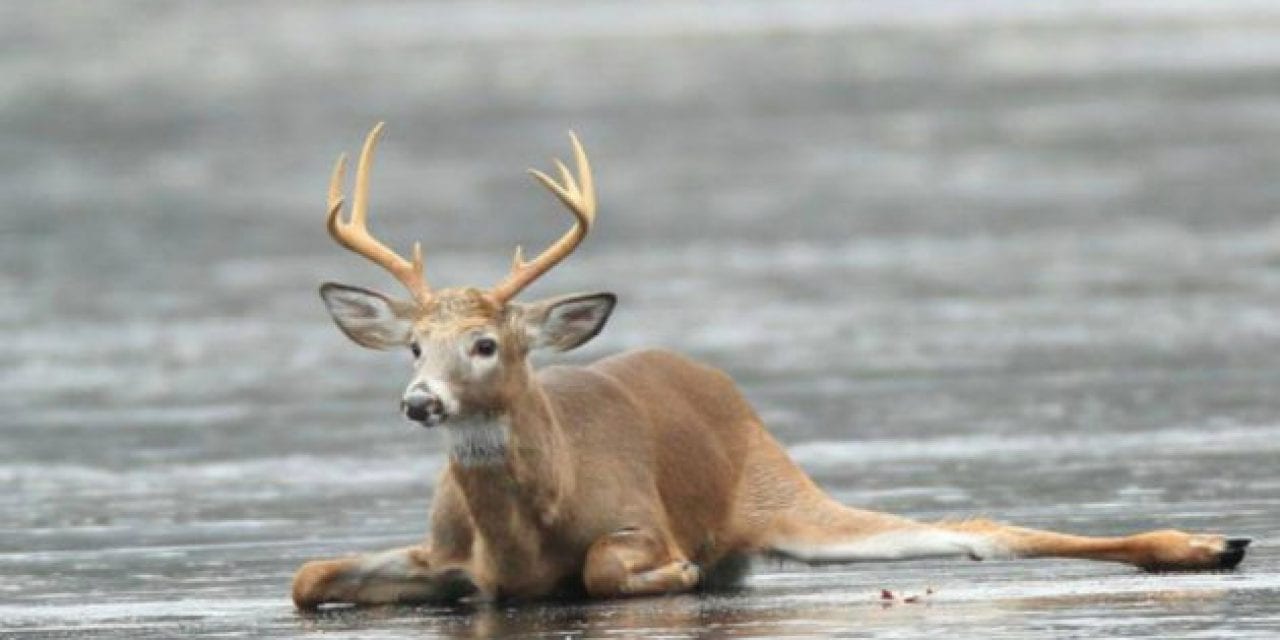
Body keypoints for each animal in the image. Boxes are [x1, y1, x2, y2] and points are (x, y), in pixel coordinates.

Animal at [290, 123, 1249, 609]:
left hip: (780, 492)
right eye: (415, 345)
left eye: (486, 344)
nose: (420, 401)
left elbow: (605, 568)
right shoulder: (444, 550)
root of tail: (717, 384)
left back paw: (1211, 542)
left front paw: (676, 573)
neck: (524, 527)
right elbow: (306, 579)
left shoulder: (638, 518)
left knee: (982, 531)